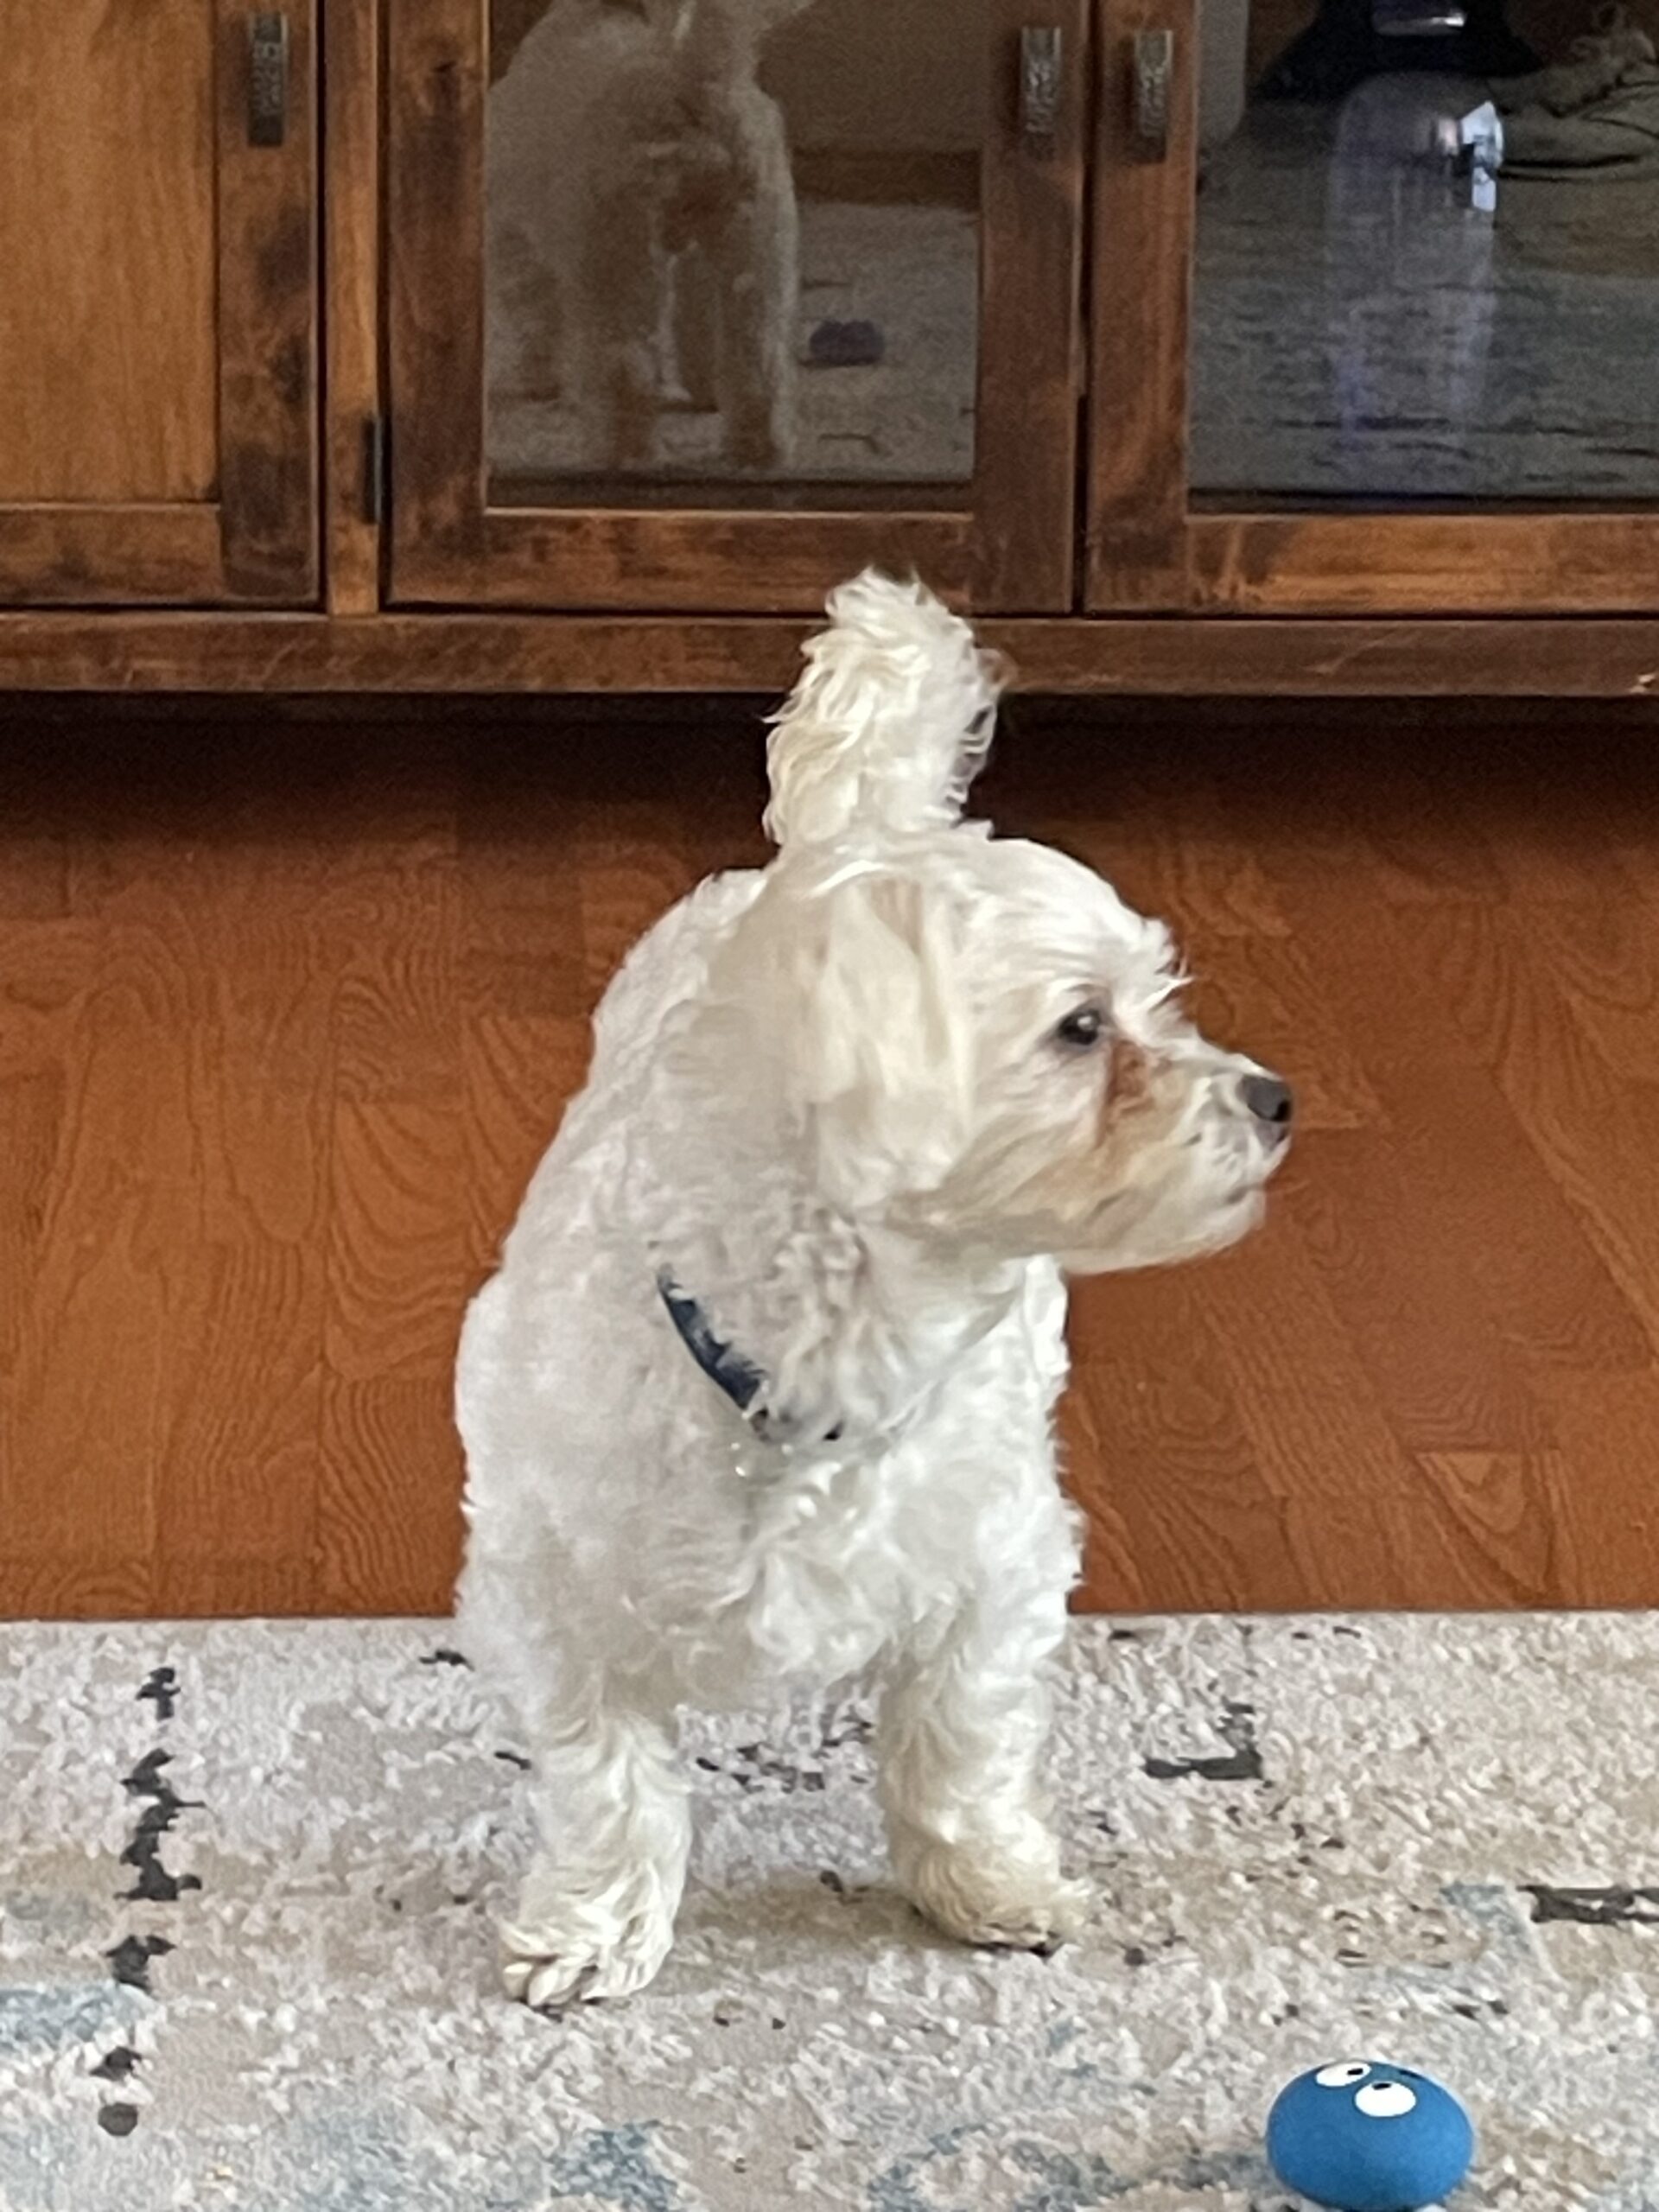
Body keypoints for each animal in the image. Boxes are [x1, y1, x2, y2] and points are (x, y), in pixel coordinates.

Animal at [456, 572, 1292, 2008]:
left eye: (1162, 1003)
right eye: (1083, 1029)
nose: (1274, 1100)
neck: (823, 1355)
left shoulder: (998, 1562)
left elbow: (961, 1743)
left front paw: (985, 1884)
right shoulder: (556, 1589)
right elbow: (608, 1779)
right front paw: (598, 1928)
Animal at [487, 0, 809, 472]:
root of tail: (691, 83)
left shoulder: (520, 241)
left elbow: (535, 318)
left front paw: (537, 380)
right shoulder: (699, 265)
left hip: (617, 254)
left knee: (625, 368)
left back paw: (623, 455)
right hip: (755, 251)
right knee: (758, 361)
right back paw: (758, 452)